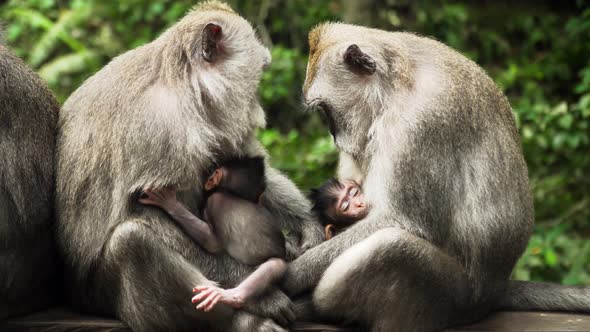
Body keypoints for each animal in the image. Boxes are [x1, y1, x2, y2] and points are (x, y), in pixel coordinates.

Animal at [139, 157, 286, 312]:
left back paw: (232, 296)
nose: (209, 176)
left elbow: (212, 243)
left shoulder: (213, 201)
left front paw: (170, 204)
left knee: (275, 265)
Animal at [284, 22, 588, 330]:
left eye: (326, 110)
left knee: (389, 247)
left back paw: (313, 307)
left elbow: (402, 221)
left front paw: (292, 273)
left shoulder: (419, 124)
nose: (334, 135)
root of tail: (495, 289)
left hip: (452, 298)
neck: (394, 85)